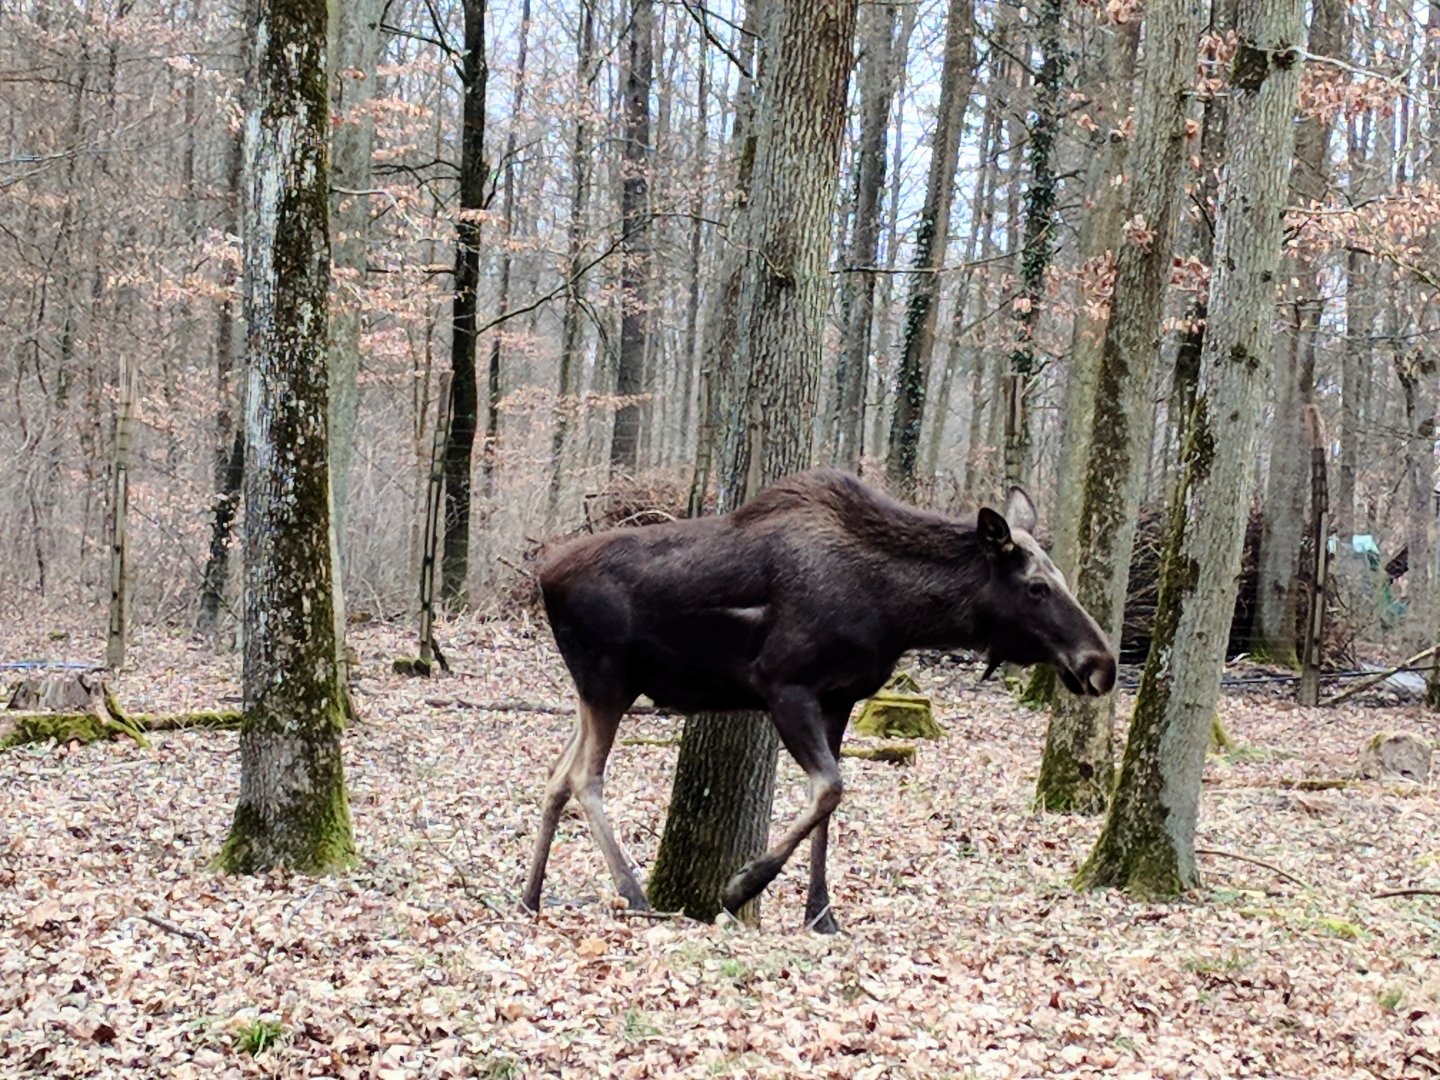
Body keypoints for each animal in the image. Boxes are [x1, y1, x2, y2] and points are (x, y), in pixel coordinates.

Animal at [521, 468, 1117, 930]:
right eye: (1037, 587)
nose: (1101, 666)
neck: (900, 612)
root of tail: (543, 576)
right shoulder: (785, 686)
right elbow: (831, 787)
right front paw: (742, 886)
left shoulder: (840, 700)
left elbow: (828, 805)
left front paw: (821, 913)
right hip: (608, 683)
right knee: (584, 778)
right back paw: (633, 892)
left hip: (594, 691)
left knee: (555, 776)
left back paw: (531, 895)